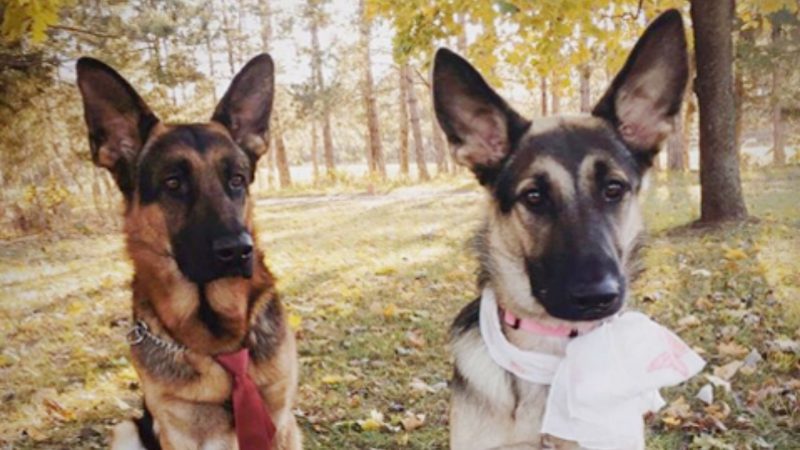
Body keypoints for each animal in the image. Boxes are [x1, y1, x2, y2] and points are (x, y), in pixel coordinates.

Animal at [76, 54, 300, 448]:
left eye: (236, 179)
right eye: (173, 183)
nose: (238, 250)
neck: (220, 341)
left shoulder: (284, 424)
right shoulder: (183, 433)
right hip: (125, 429)